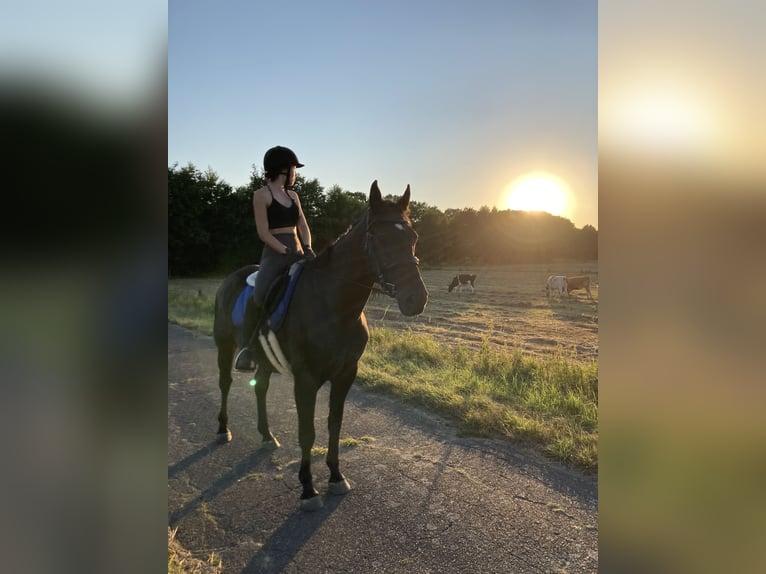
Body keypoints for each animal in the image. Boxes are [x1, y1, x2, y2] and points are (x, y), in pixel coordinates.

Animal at [213, 180, 429, 510]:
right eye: (379, 238)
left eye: (412, 237)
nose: (416, 299)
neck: (333, 304)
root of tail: (229, 279)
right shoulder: (306, 379)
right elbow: (307, 431)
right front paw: (308, 489)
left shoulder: (346, 374)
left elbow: (334, 424)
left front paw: (336, 477)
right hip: (224, 346)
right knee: (225, 383)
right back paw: (223, 429)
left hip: (265, 359)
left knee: (260, 386)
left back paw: (266, 435)